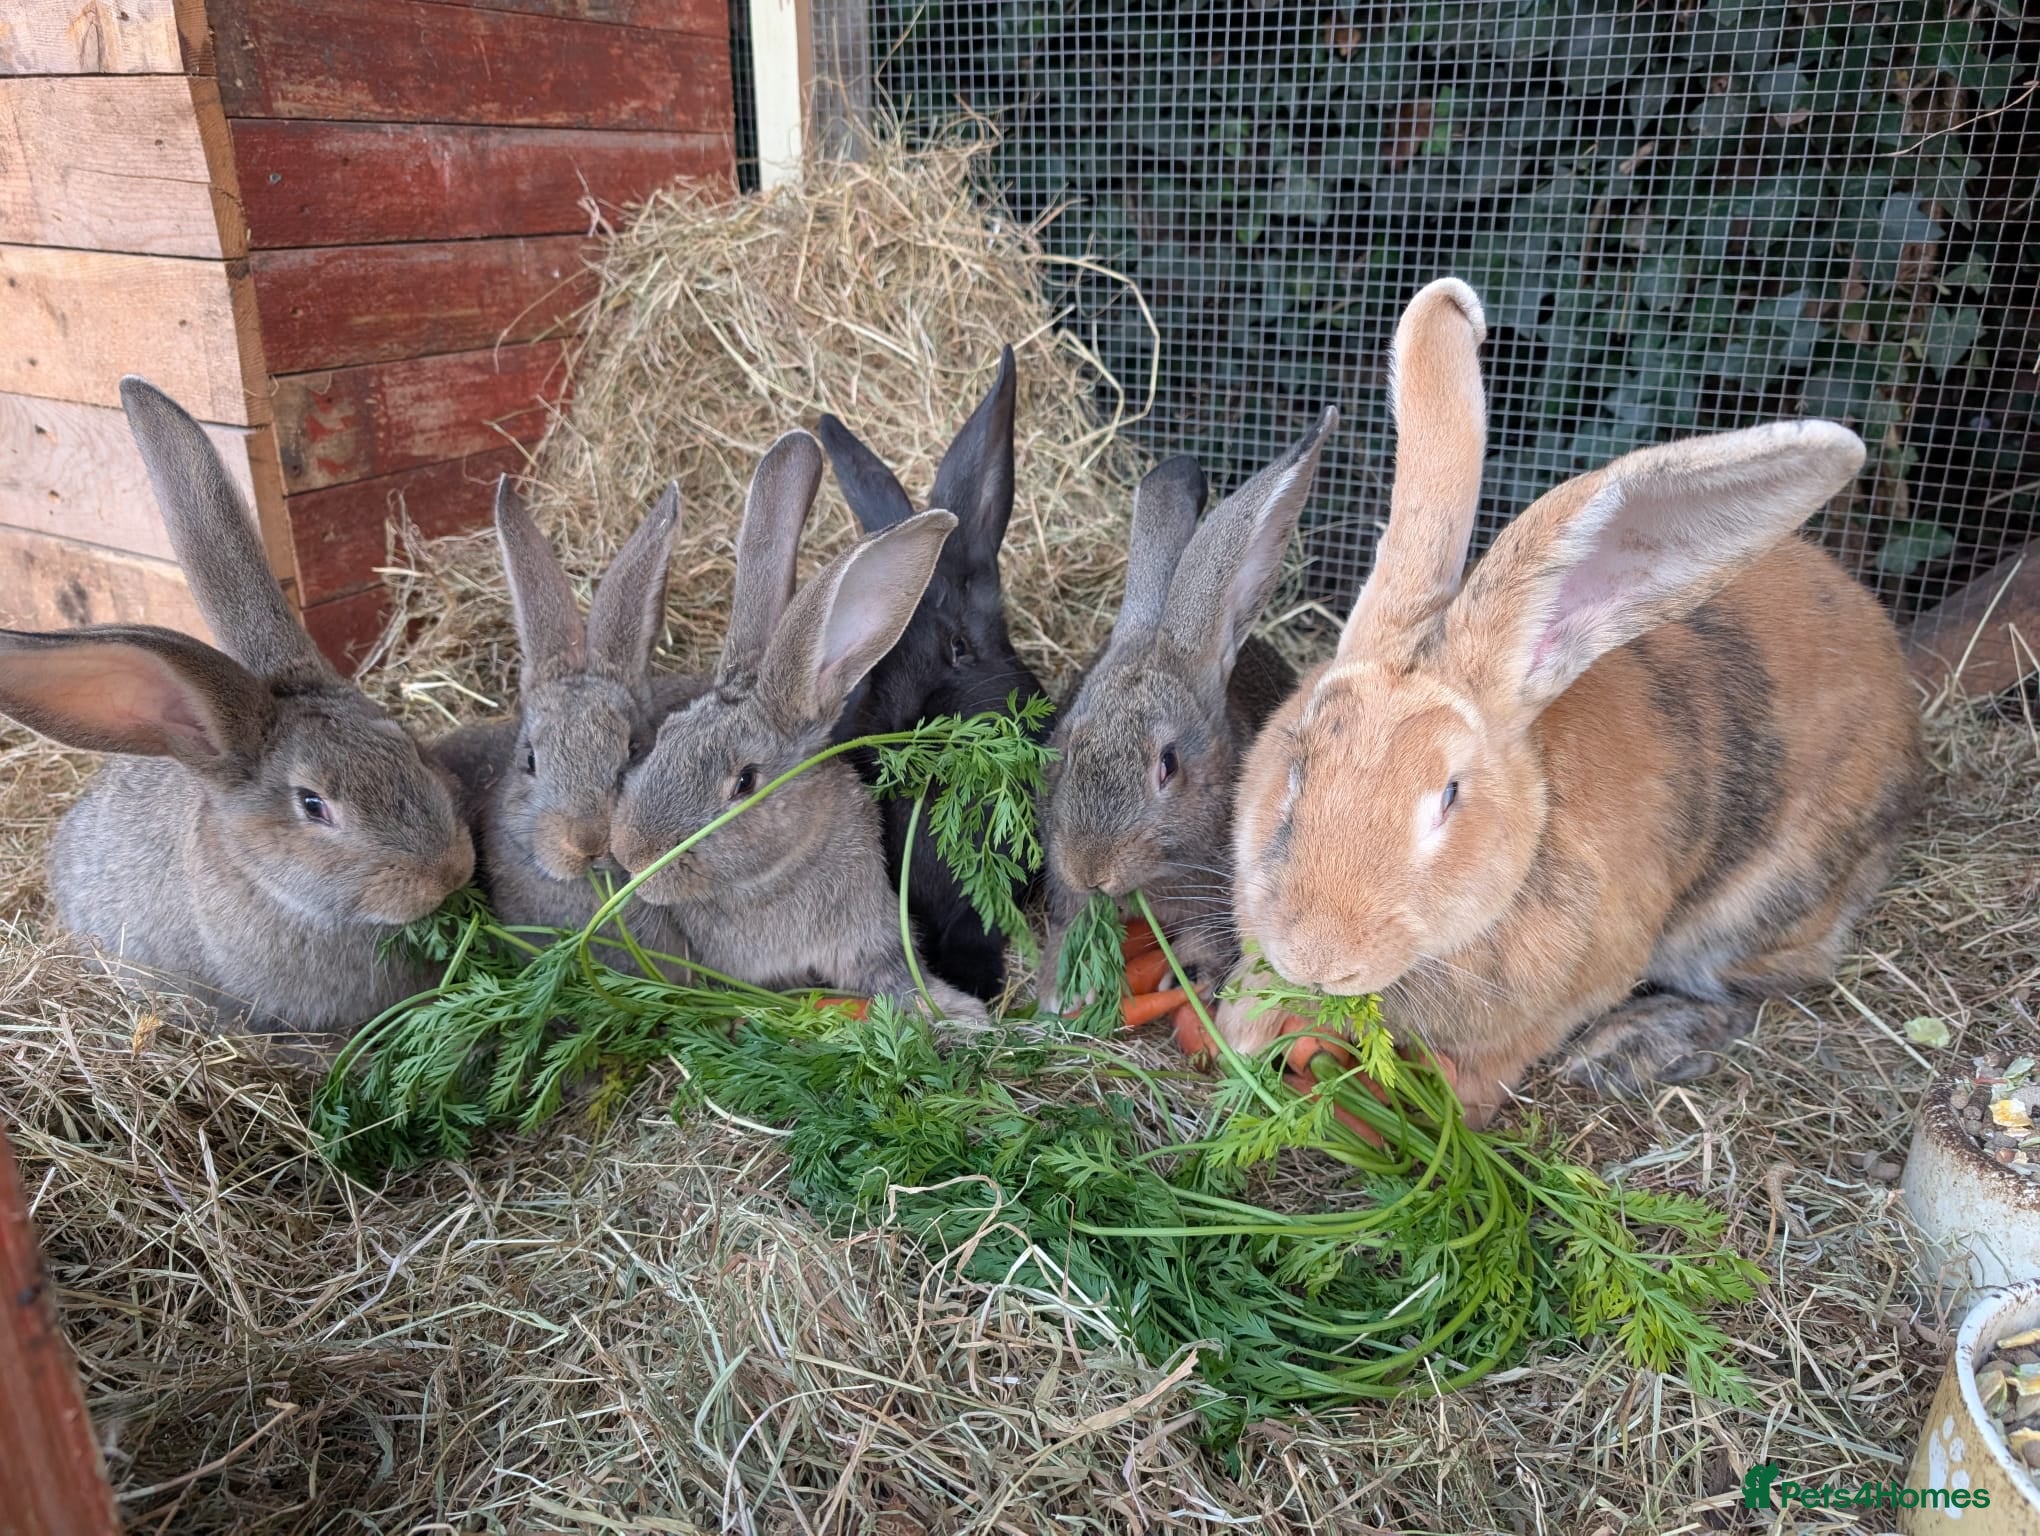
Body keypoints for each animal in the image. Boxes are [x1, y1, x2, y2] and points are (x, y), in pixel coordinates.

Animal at [608, 429, 987, 1020]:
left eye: (744, 781)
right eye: (664, 737)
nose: (632, 855)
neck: (778, 876)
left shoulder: (866, 932)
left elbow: (899, 977)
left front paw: (964, 1016)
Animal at [1216, 277, 1924, 1128]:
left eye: (1449, 795)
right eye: (1297, 765)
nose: (1320, 957)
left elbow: (1489, 1070)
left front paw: (1444, 1112)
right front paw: (1243, 1029)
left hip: (1759, 910)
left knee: (1763, 993)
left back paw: (1630, 1047)